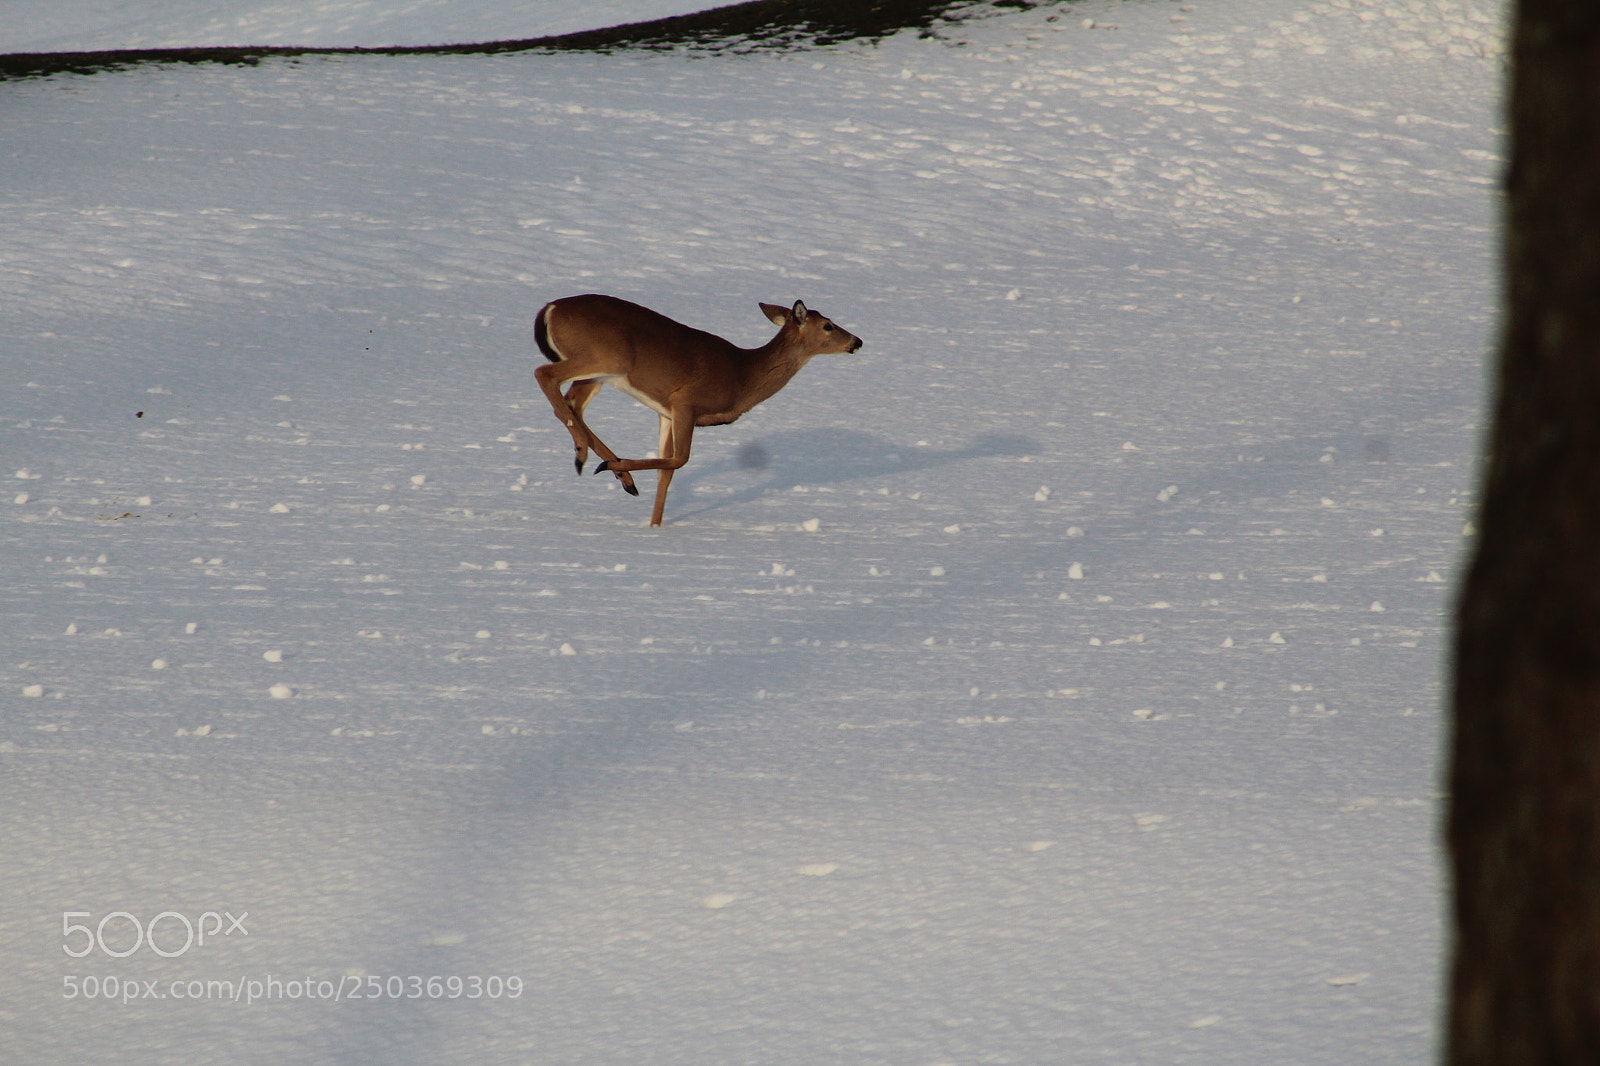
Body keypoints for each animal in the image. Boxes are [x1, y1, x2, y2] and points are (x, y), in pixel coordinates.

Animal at [533, 294, 863, 526]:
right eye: (828, 326)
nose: (857, 341)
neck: (742, 376)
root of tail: (549, 308)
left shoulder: (666, 412)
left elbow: (666, 470)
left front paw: (655, 525)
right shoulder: (686, 401)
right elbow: (680, 459)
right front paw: (617, 469)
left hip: (597, 373)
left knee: (572, 403)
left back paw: (612, 470)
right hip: (603, 357)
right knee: (545, 375)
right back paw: (595, 459)